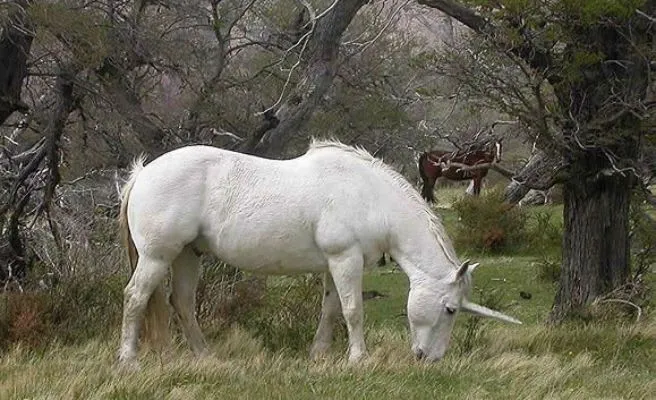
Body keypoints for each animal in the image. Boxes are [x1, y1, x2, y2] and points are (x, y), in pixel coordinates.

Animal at [116, 139, 516, 368]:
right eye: (450, 309)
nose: (431, 360)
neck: (372, 197)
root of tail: (143, 173)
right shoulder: (345, 259)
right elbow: (353, 311)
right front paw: (359, 360)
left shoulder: (335, 264)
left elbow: (331, 309)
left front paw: (319, 355)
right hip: (158, 257)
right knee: (135, 298)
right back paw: (128, 360)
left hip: (187, 255)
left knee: (181, 303)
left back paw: (204, 357)